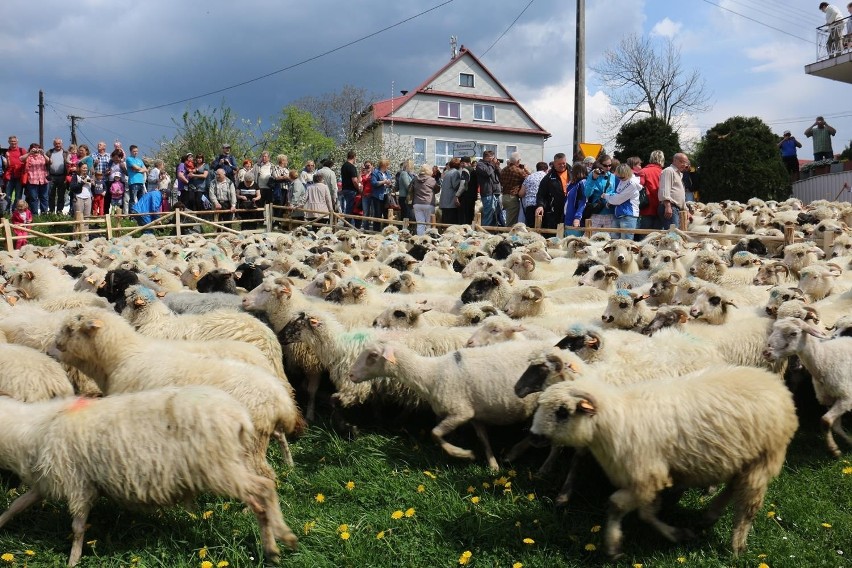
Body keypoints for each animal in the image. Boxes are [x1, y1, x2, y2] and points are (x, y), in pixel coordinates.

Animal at [0, 384, 298, 564]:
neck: (28, 429)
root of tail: (240, 416)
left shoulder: (78, 484)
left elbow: (77, 528)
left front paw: (73, 560)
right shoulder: (46, 482)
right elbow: (17, 505)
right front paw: (1, 523)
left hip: (218, 467)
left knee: (263, 488)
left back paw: (282, 537)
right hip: (228, 464)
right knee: (260, 496)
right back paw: (273, 547)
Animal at [352, 338, 544, 470]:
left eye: (373, 355)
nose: (350, 375)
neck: (431, 375)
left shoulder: (460, 412)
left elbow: (435, 434)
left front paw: (463, 454)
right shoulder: (474, 413)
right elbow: (483, 439)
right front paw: (493, 465)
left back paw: (513, 453)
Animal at [532, 366, 800, 556]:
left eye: (563, 412)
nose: (534, 435)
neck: (613, 419)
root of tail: (776, 385)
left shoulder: (647, 476)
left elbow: (626, 507)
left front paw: (617, 544)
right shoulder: (643, 478)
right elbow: (640, 510)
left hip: (763, 457)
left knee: (747, 504)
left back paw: (737, 545)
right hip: (742, 459)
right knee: (734, 486)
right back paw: (709, 516)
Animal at [764, 316, 852, 458]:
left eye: (793, 333)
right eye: (773, 330)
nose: (766, 352)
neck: (824, 360)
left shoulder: (846, 398)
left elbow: (825, 421)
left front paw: (834, 448)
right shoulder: (829, 399)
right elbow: (834, 425)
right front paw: (840, 446)